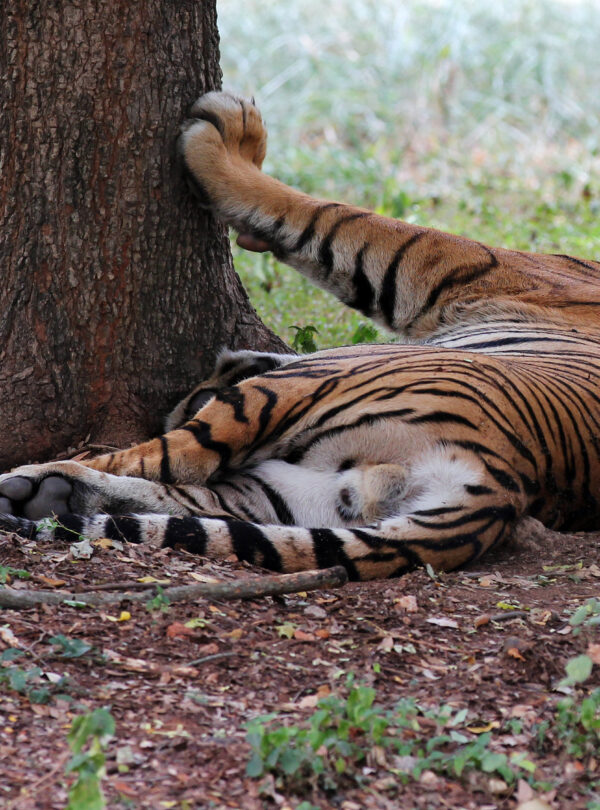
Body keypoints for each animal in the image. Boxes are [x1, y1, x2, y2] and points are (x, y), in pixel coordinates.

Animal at [1, 90, 599, 581]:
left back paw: (31, 480)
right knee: (194, 500)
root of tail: (504, 484)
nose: (197, 385)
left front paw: (228, 138)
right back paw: (47, 494)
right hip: (294, 494)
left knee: (169, 460)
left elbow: (340, 219)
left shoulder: (465, 266)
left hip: (308, 382)